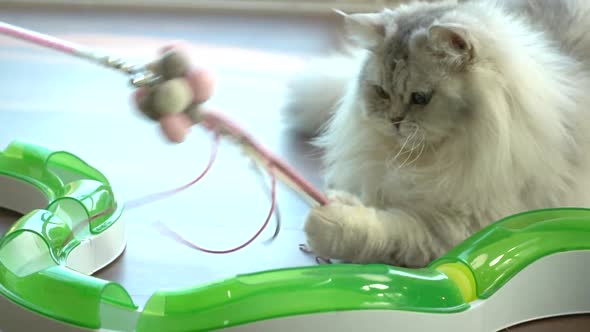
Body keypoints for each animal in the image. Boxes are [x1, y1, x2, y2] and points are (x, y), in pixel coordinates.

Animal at [280, 0, 590, 266]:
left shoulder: (465, 230)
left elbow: (388, 232)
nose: (394, 121)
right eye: (382, 93)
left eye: (420, 98)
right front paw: (341, 201)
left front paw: (333, 217)